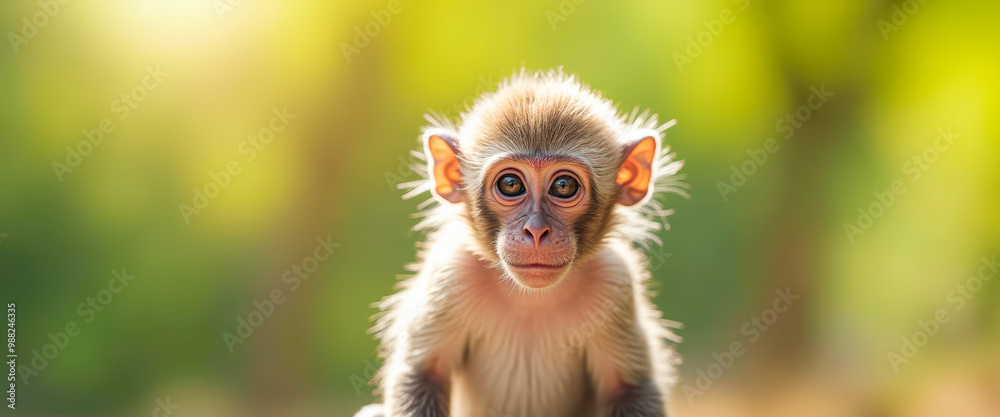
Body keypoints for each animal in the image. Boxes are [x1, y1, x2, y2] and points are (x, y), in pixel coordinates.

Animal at [355, 69, 687, 417]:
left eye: (564, 186)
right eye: (511, 184)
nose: (536, 231)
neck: (531, 299)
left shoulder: (614, 283)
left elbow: (629, 388)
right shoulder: (451, 272)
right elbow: (422, 373)